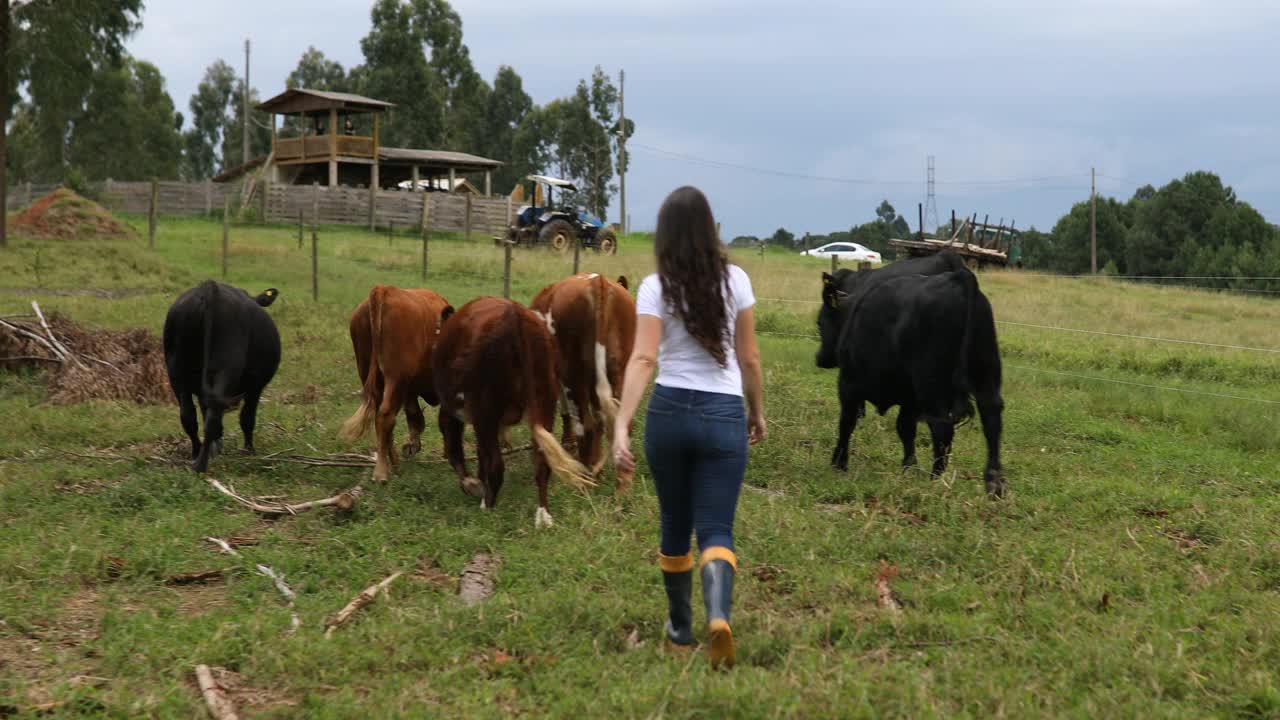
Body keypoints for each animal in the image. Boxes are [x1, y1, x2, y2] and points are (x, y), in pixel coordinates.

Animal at [162, 280, 280, 471]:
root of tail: (209, 289)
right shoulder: (256, 386)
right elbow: (247, 418)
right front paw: (249, 451)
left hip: (176, 372)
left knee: (189, 415)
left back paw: (196, 454)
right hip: (225, 366)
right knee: (214, 414)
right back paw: (201, 465)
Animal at [340, 283, 455, 479]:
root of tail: (384, 289)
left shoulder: (409, 390)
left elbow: (415, 418)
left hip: (372, 375)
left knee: (382, 418)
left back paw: (393, 463)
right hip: (396, 379)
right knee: (385, 416)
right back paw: (381, 472)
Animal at [427, 295, 591, 527]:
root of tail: (516, 316)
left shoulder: (453, 411)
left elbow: (455, 450)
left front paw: (472, 485)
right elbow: (480, 453)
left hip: (485, 408)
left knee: (496, 464)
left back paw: (487, 506)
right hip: (543, 400)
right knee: (541, 462)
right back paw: (543, 517)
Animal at [527, 270, 632, 486]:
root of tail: (598, 281)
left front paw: (569, 443)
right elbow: (601, 419)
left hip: (572, 374)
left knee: (586, 425)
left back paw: (586, 476)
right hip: (619, 372)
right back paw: (621, 482)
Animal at [814, 263, 1003, 491]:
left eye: (820, 322)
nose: (820, 358)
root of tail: (958, 278)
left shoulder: (848, 383)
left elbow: (846, 423)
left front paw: (839, 463)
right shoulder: (910, 397)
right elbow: (905, 428)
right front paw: (908, 468)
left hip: (931, 385)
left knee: (942, 428)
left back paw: (935, 481)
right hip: (986, 372)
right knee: (991, 419)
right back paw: (995, 484)